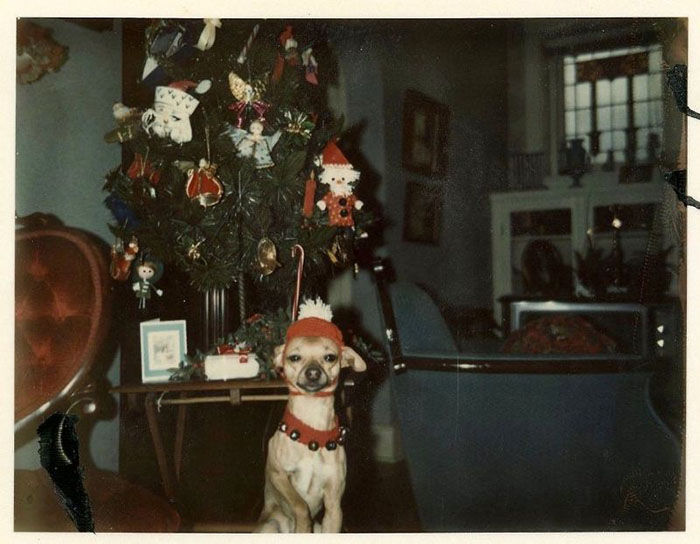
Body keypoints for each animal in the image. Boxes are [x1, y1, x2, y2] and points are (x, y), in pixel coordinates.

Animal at [256, 298, 366, 532]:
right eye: (295, 357)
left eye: (330, 357)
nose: (313, 372)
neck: (312, 430)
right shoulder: (278, 475)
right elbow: (299, 505)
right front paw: (302, 522)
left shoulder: (334, 506)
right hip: (271, 525)